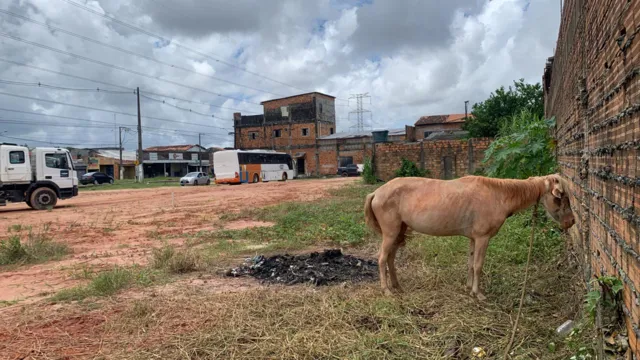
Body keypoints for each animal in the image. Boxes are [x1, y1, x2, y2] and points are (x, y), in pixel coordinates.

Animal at [362, 174, 576, 300]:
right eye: (561, 197)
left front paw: (467, 288)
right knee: (382, 258)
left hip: (399, 231)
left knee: (390, 258)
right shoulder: (483, 238)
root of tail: (376, 192)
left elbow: (470, 263)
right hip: (390, 232)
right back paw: (386, 290)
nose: (571, 222)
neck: (498, 195)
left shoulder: (473, 238)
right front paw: (478, 293)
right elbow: (478, 265)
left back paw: (397, 286)